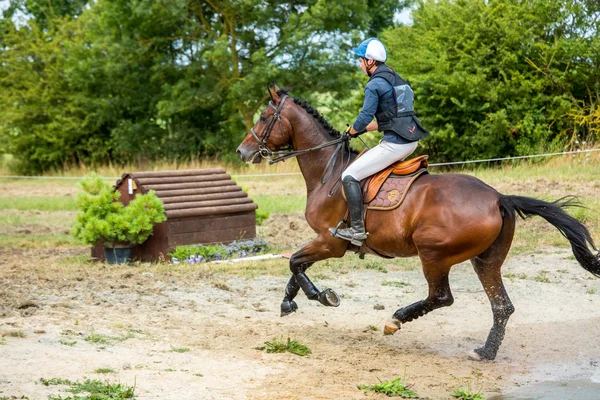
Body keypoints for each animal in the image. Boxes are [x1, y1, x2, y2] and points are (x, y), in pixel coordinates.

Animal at [236, 83, 600, 360]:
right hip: (486, 260)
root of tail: (499, 198)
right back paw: (485, 352)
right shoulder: (326, 242)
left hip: (434, 255)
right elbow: (297, 264)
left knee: (442, 297)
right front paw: (289, 301)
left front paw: (321, 296)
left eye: (265, 117)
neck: (329, 170)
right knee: (501, 306)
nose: (242, 152)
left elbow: (295, 263)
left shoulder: (331, 241)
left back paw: (395, 320)